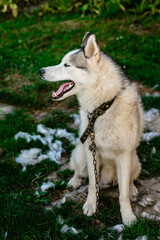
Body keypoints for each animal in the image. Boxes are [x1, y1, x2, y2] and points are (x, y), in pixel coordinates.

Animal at [39, 31, 144, 225]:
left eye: (66, 65)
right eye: (61, 62)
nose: (40, 71)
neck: (102, 108)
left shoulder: (124, 155)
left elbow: (123, 194)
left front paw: (128, 217)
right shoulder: (90, 149)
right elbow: (92, 185)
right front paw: (90, 205)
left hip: (134, 160)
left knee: (130, 180)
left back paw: (132, 189)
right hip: (80, 154)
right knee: (78, 170)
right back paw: (74, 181)